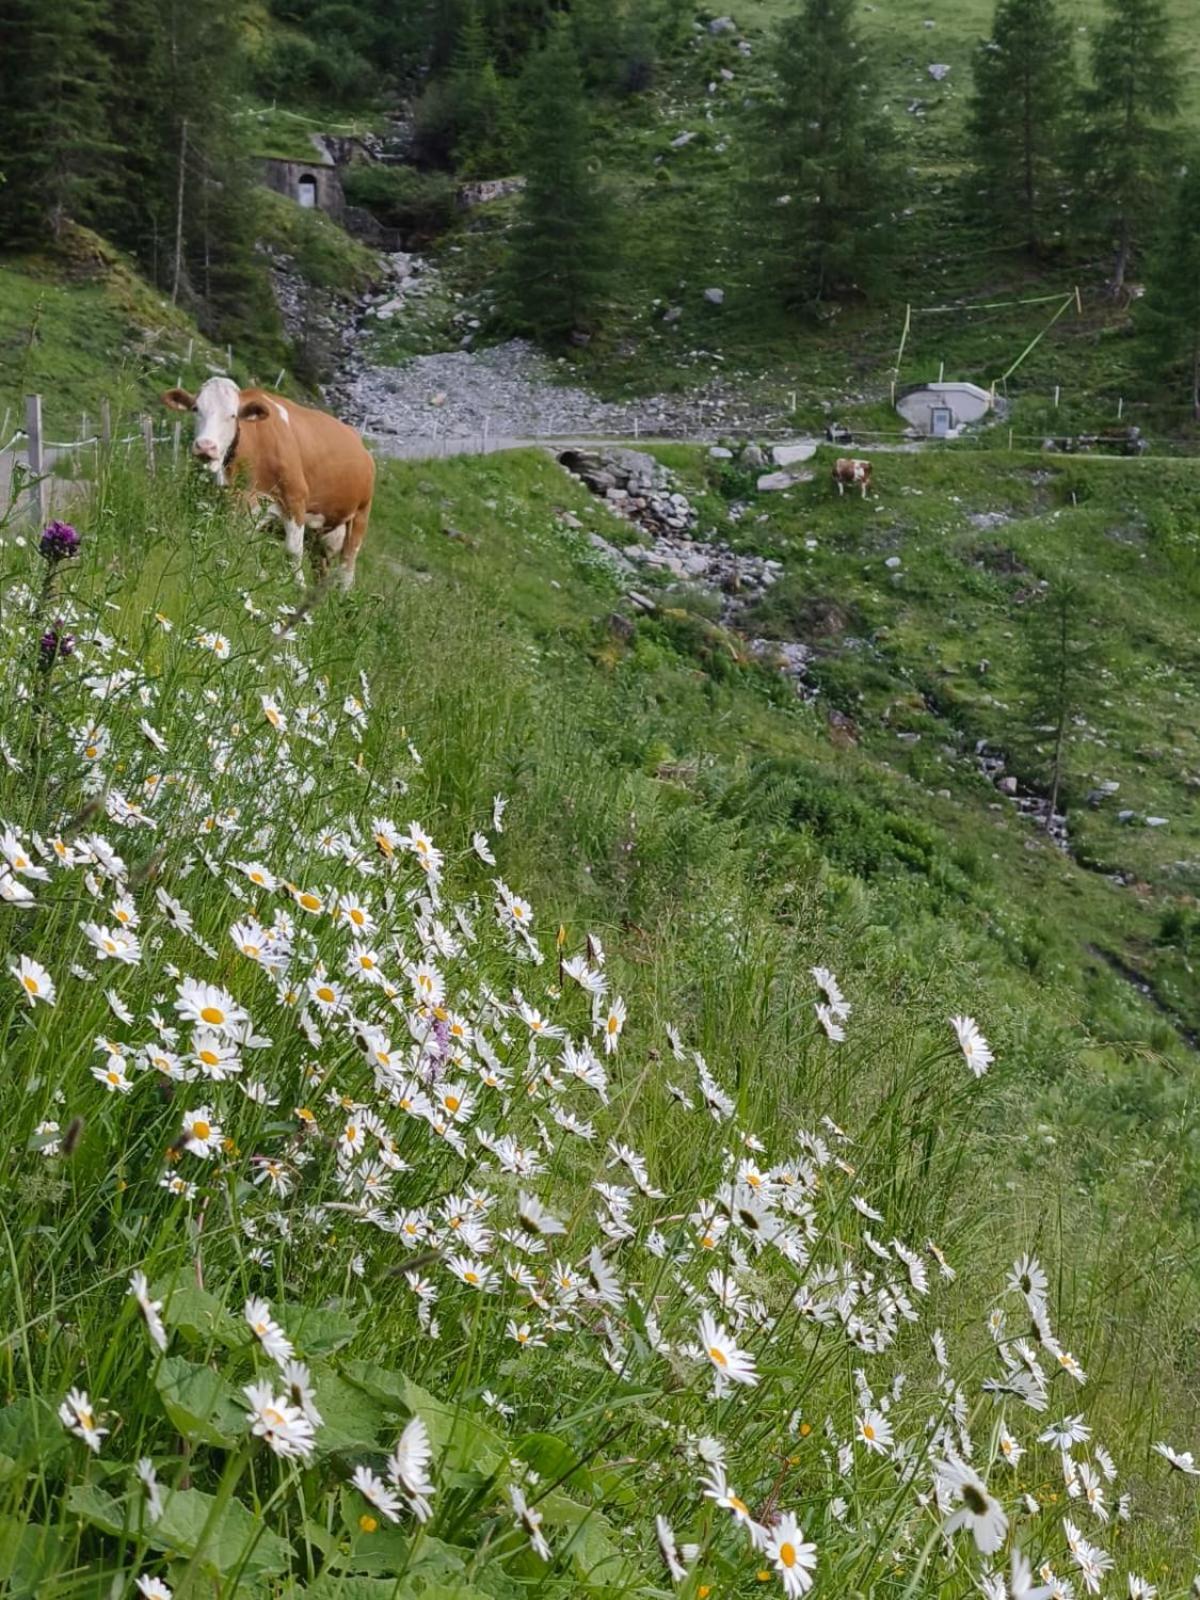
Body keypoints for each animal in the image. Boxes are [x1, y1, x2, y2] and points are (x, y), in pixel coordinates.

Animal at [162, 377, 374, 592]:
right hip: (319, 533)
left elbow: (293, 551)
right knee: (321, 567)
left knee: (347, 565)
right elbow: (241, 544)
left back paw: (342, 595)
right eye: (196, 409)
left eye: (232, 415)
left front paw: (298, 587)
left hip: (360, 516)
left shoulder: (295, 499)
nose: (205, 446)